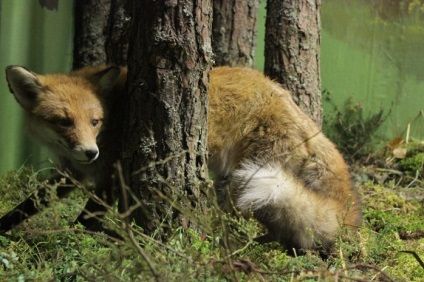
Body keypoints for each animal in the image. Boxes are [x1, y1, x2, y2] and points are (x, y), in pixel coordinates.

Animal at [3, 65, 362, 251]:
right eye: (64, 122)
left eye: (95, 121)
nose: (90, 152)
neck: (115, 115)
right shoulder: (72, 173)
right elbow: (26, 206)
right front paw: (3, 228)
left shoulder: (112, 176)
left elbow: (85, 220)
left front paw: (78, 241)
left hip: (244, 182)